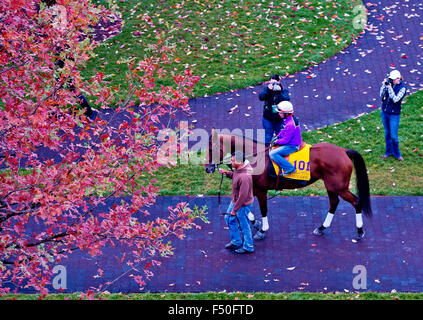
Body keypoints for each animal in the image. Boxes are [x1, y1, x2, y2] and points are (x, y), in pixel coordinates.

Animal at [204, 129, 372, 239]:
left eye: (211, 149)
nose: (207, 168)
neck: (256, 157)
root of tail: (344, 151)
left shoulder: (261, 190)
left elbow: (262, 210)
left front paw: (262, 229)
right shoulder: (252, 188)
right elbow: (244, 209)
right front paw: (256, 222)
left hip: (339, 187)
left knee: (356, 202)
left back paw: (359, 231)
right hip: (330, 185)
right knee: (334, 203)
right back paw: (321, 228)